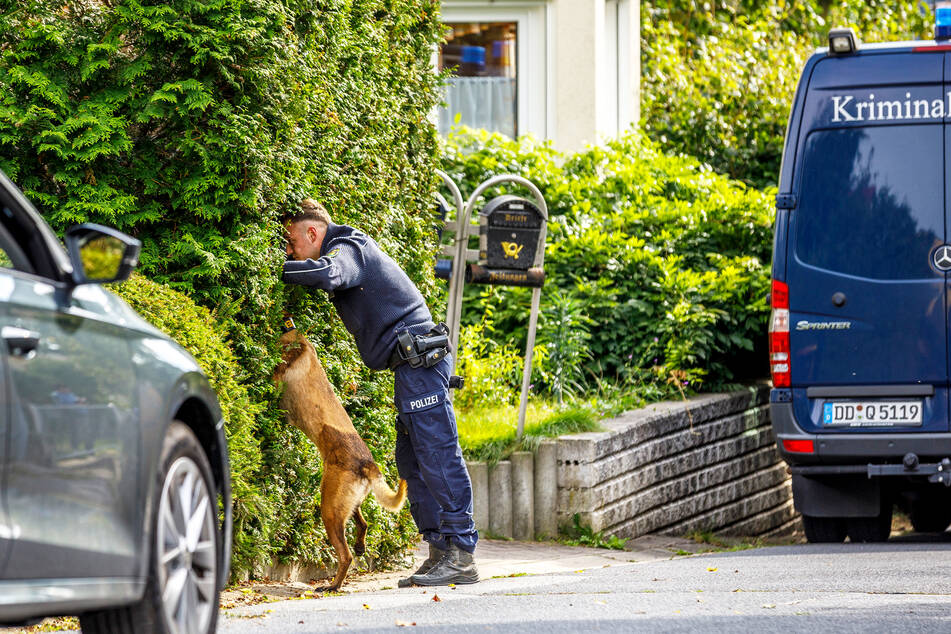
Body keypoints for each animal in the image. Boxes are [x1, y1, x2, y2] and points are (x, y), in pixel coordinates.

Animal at [276, 324, 410, 592]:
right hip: (346, 503)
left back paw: (333, 586)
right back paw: (359, 547)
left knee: (345, 555)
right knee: (363, 524)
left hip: (329, 508)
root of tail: (369, 465)